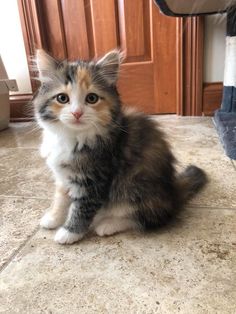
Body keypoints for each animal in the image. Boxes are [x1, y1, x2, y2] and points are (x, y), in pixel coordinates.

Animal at [34, 49, 207, 245]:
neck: (72, 137)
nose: (77, 113)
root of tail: (173, 194)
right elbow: (61, 198)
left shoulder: (94, 180)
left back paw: (107, 224)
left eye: (91, 98)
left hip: (135, 188)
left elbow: (81, 208)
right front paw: (53, 218)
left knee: (147, 218)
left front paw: (69, 232)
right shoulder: (64, 176)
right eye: (62, 98)